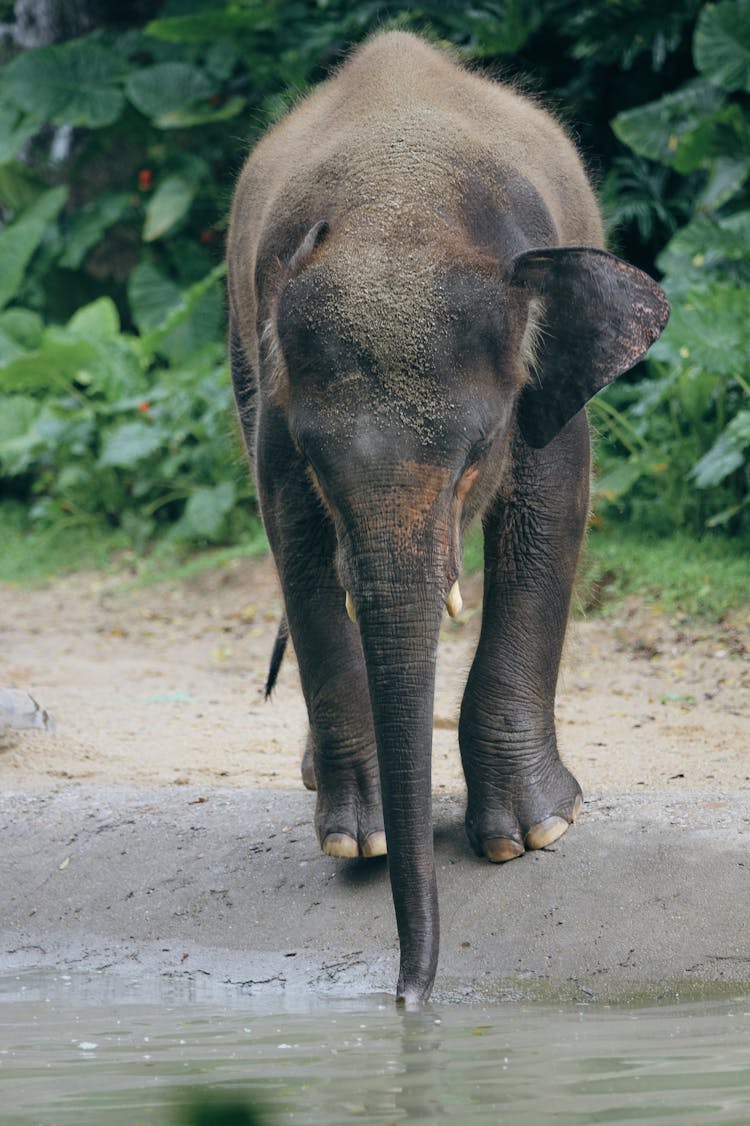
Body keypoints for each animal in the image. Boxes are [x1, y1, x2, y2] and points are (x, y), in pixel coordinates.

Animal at [226, 30, 666, 1008]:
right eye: (321, 464)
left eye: (475, 458)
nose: (409, 998)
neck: (402, 211)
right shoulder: (274, 397)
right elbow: (294, 539)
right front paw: (360, 841)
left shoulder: (543, 391)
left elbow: (551, 514)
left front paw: (534, 836)